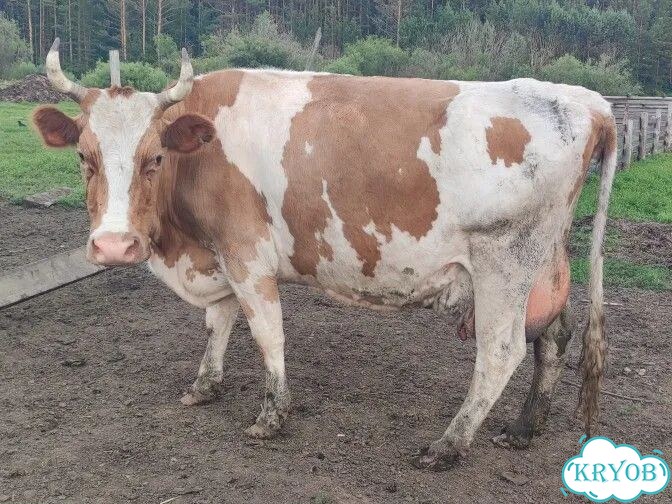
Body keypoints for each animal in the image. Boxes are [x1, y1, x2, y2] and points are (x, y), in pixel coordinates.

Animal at [33, 38, 616, 471]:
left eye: (153, 157)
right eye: (83, 156)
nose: (114, 244)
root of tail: (586, 101)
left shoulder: (246, 253)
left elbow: (265, 332)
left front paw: (272, 416)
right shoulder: (219, 253)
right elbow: (218, 321)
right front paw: (204, 386)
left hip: (503, 261)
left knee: (501, 351)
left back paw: (447, 445)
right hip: (545, 263)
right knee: (553, 337)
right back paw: (523, 429)